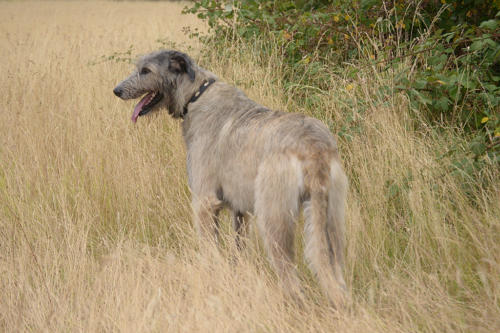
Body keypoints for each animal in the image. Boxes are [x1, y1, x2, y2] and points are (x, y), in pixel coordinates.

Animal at [113, 49, 348, 306]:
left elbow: (209, 251)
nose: (117, 90)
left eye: (146, 71)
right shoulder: (240, 211)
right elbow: (238, 253)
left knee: (291, 279)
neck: (196, 94)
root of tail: (314, 145)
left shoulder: (205, 203)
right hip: (330, 219)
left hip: (274, 218)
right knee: (334, 272)